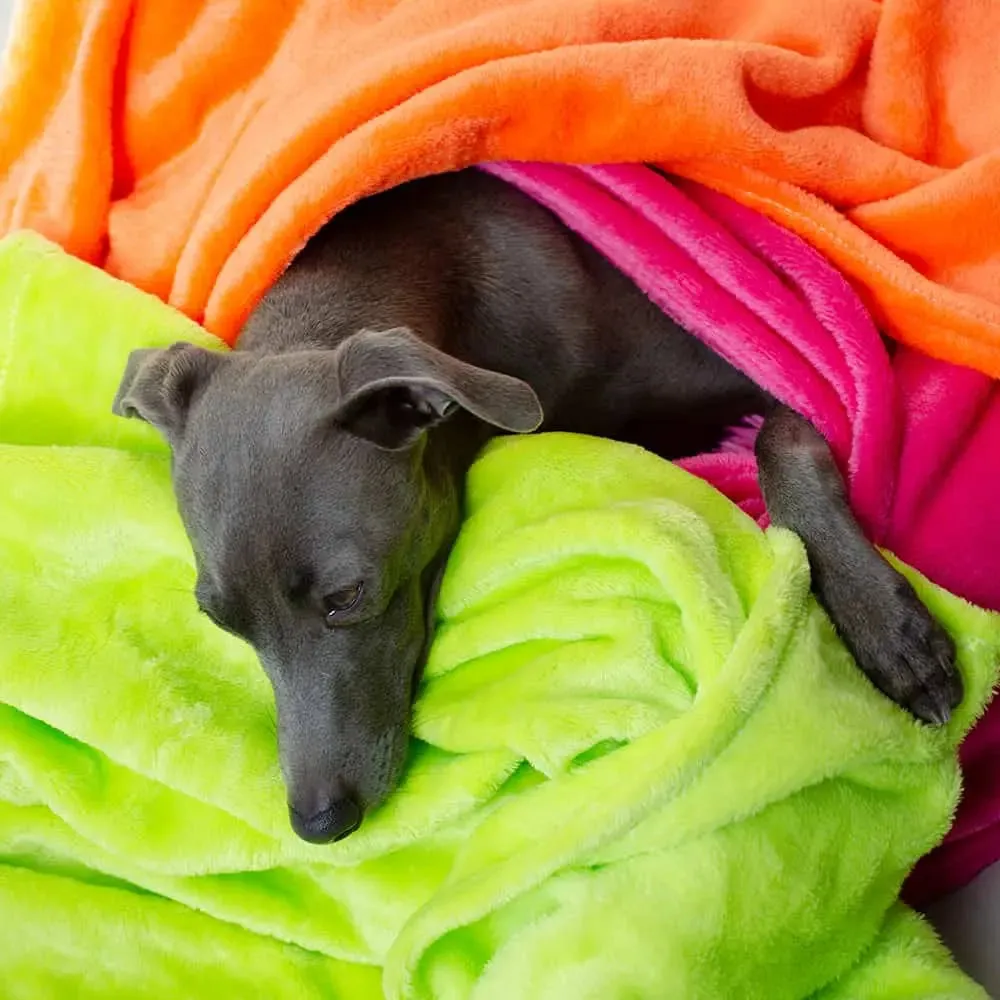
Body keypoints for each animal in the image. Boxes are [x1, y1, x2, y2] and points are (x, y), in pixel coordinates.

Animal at [109, 170, 960, 844]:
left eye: (346, 597)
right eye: (222, 621)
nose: (319, 822)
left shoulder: (755, 357)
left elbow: (787, 430)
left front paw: (891, 633)